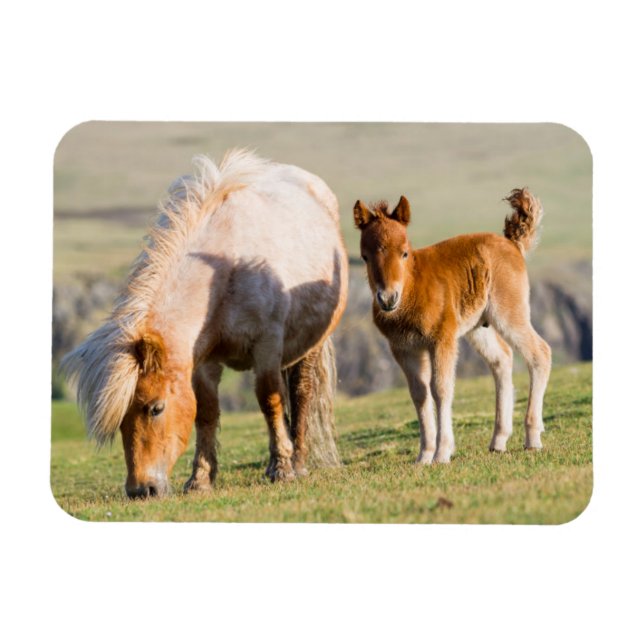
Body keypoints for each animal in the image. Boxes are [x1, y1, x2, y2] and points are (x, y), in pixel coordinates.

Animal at [62, 150, 349, 498]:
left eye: (155, 408)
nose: (141, 490)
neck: (224, 271)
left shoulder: (267, 345)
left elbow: (269, 401)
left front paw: (281, 468)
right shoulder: (202, 361)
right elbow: (206, 413)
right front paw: (200, 480)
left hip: (310, 345)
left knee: (302, 394)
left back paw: (298, 462)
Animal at [353, 189, 551, 464]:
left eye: (405, 252)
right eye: (365, 257)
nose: (388, 298)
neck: (413, 289)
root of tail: (512, 243)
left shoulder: (441, 338)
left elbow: (441, 389)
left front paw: (442, 453)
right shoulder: (403, 348)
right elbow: (419, 395)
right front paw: (424, 456)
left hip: (509, 313)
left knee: (540, 353)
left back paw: (532, 438)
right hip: (479, 327)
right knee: (502, 359)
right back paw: (498, 440)